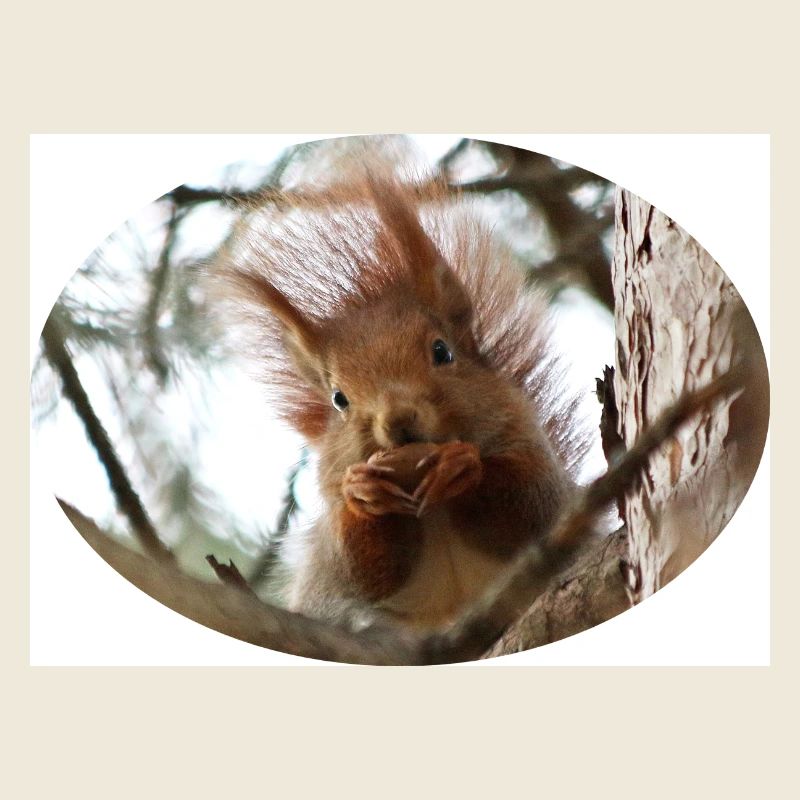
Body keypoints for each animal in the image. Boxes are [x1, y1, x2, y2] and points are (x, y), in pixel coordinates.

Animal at [218, 151, 587, 630]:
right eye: (339, 399)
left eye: (442, 352)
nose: (397, 420)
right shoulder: (335, 544)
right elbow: (359, 569)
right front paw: (362, 491)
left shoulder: (533, 454)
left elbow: (533, 506)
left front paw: (462, 466)